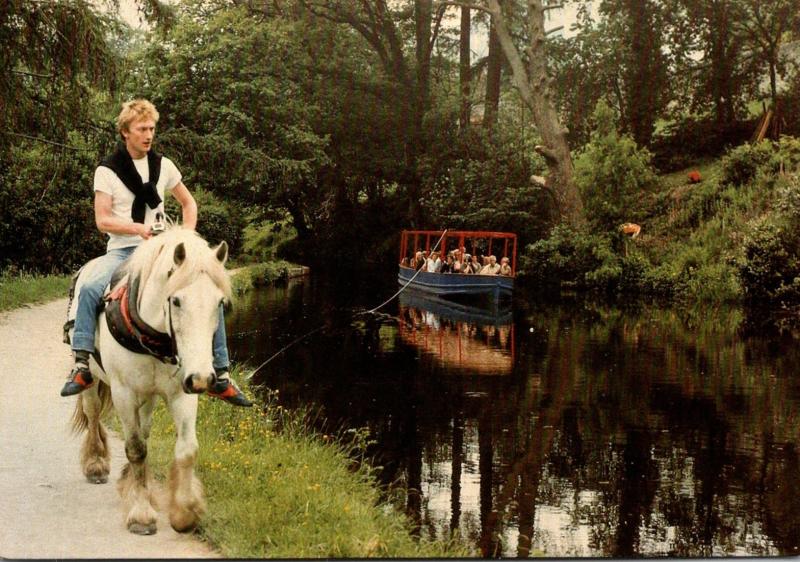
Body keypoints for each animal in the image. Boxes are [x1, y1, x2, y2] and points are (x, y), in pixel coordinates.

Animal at [67, 226, 230, 532]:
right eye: (176, 300)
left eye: (220, 303)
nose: (203, 378)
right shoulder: (123, 393)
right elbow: (135, 449)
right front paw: (141, 513)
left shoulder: (181, 391)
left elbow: (186, 449)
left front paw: (185, 512)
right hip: (93, 380)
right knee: (93, 414)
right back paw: (96, 463)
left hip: (148, 395)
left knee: (144, 428)